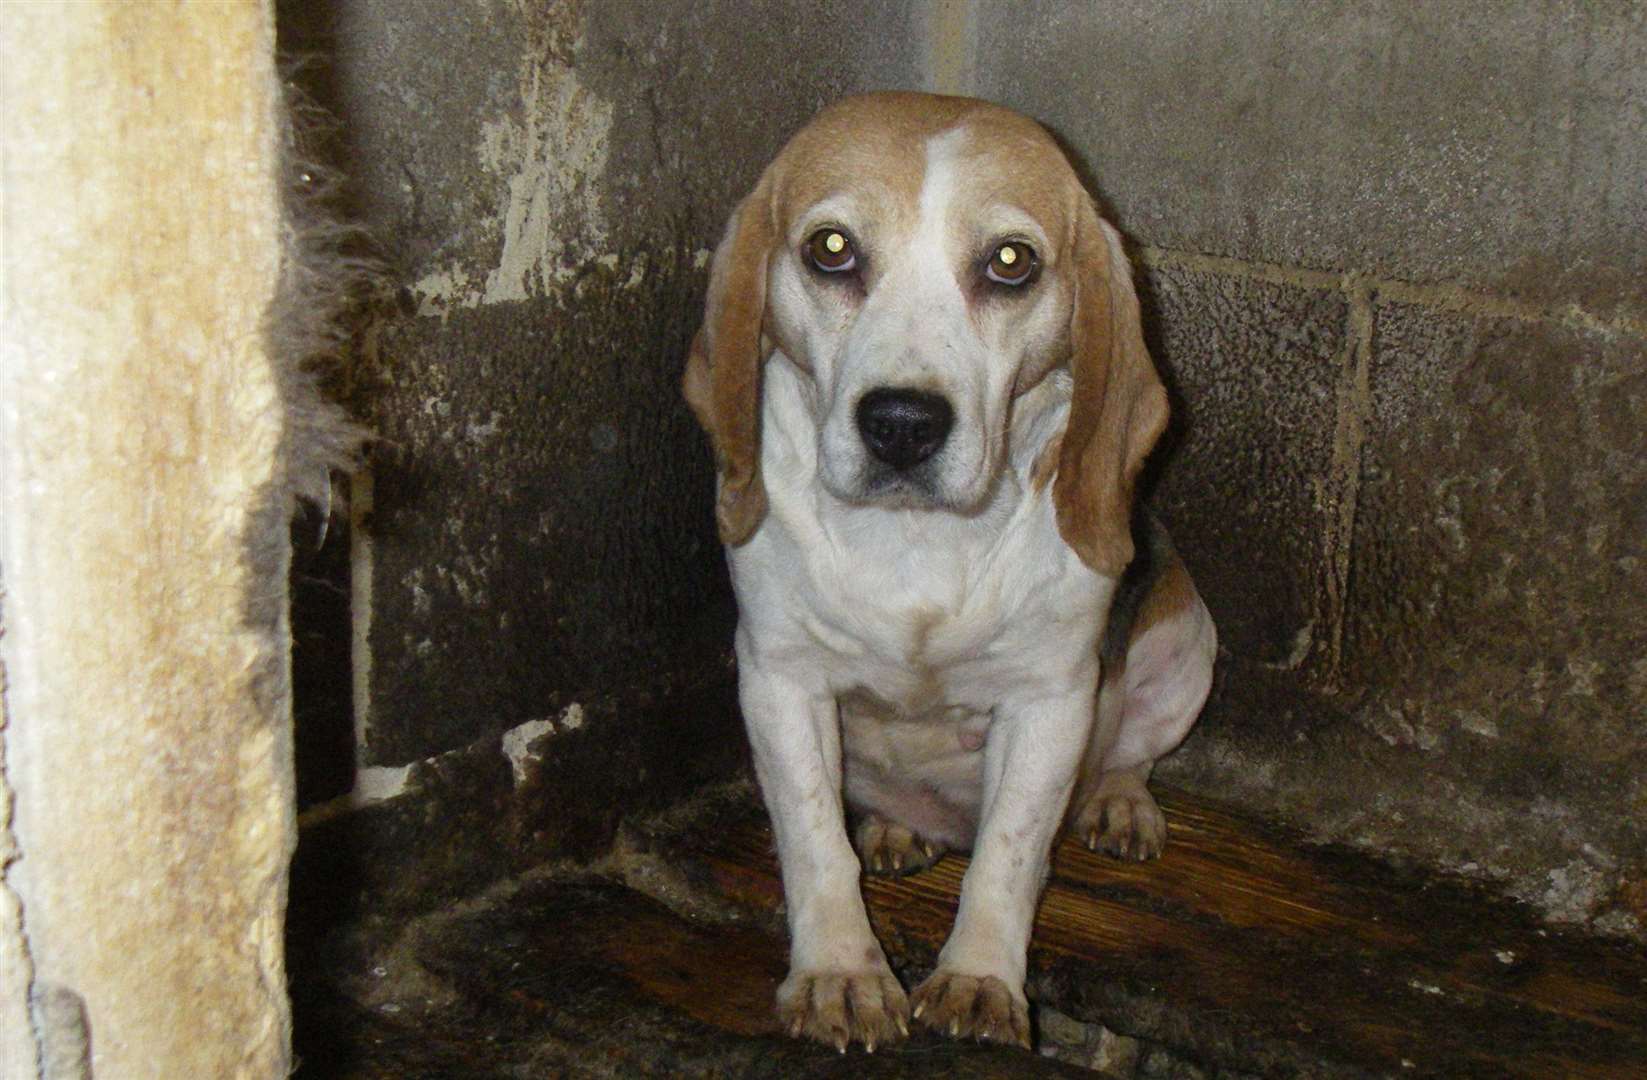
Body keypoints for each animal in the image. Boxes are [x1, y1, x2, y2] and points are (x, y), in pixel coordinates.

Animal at [678, 93, 1212, 1053]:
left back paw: (1117, 803)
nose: (900, 424)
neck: (914, 539)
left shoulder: (1050, 701)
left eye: (1010, 262)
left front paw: (978, 980)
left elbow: (1007, 852)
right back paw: (896, 827)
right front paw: (841, 974)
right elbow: (813, 838)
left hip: (1189, 648)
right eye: (831, 248)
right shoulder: (778, 679)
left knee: (1131, 755)